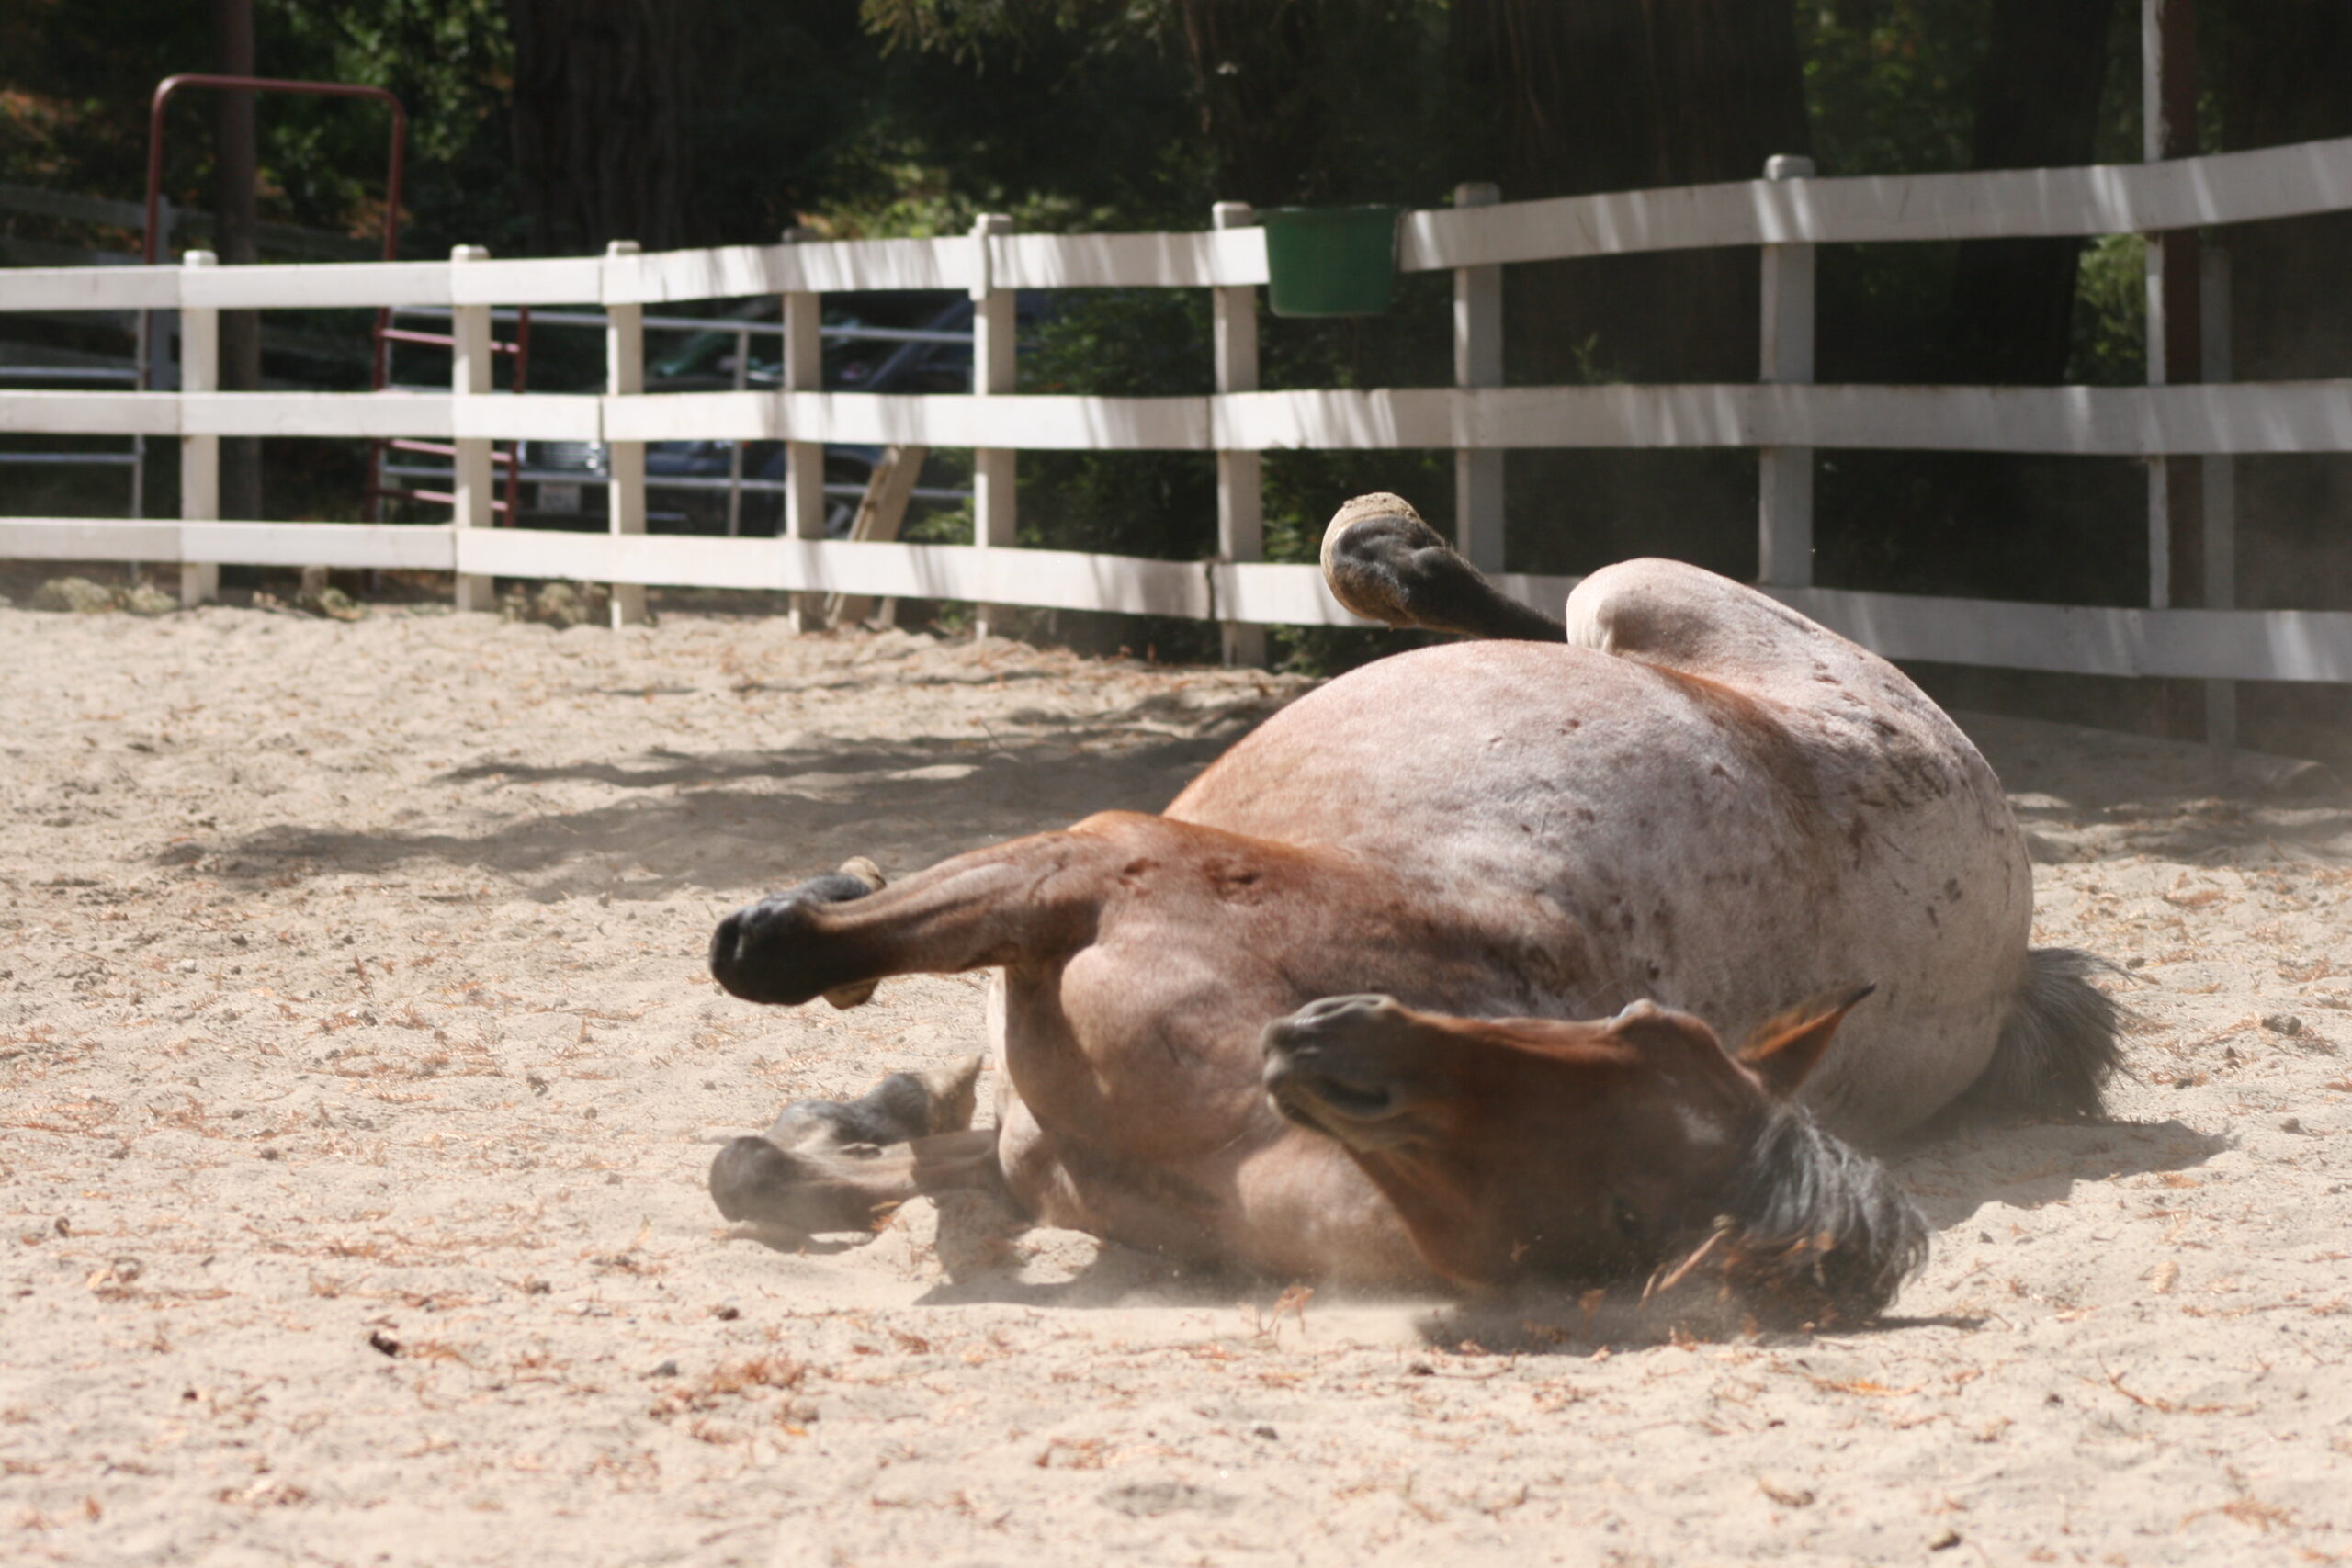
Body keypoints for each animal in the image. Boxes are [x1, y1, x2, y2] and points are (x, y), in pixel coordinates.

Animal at [695, 493, 2117, 1325]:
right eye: (1627, 1026)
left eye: (1614, 1200)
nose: (1338, 1042)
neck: (1220, 1116)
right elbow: (793, 1148)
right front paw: (850, 1079)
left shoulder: (1088, 871)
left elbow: (765, 984)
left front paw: (816, 968)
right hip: (1629, 595)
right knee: (1547, 622)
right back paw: (1395, 556)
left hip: (1645, 591)